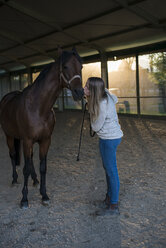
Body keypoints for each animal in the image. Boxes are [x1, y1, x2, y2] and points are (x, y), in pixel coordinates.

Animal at [0, 47, 83, 208]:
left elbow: (43, 167)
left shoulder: (45, 140)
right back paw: (14, 179)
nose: (79, 92)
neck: (38, 108)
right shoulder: (27, 140)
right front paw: (24, 199)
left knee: (30, 159)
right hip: (9, 136)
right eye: (65, 66)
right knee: (13, 155)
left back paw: (35, 180)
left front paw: (44, 195)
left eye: (81, 67)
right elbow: (25, 168)